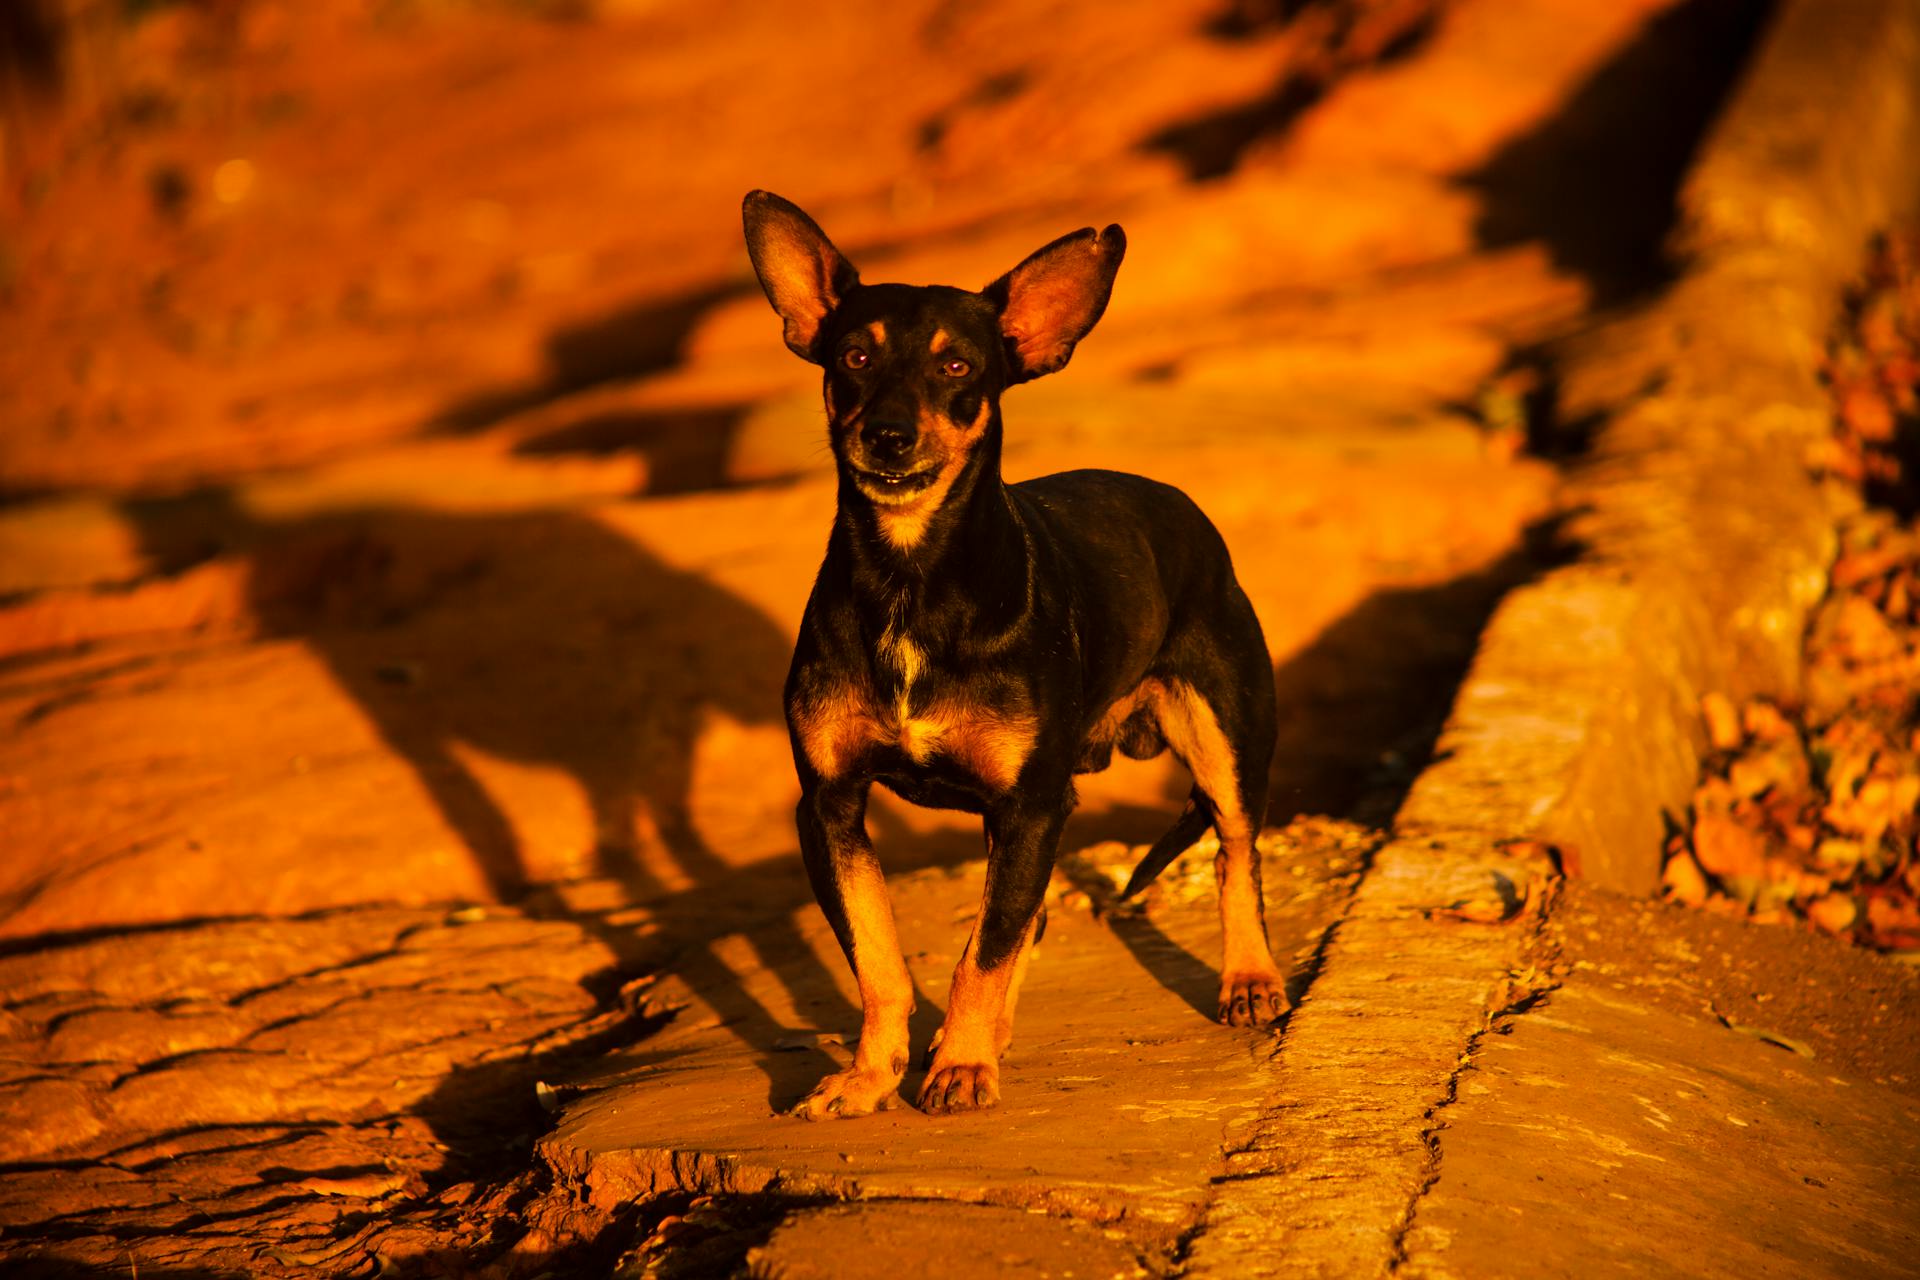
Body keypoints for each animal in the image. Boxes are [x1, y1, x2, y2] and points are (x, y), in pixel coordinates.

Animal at [741, 189, 1282, 1120]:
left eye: (958, 367)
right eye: (852, 356)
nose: (887, 435)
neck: (912, 577)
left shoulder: (1026, 807)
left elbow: (984, 950)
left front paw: (958, 1067)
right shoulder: (832, 807)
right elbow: (881, 960)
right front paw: (870, 1078)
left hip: (1224, 735)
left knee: (1235, 850)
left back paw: (1249, 981)